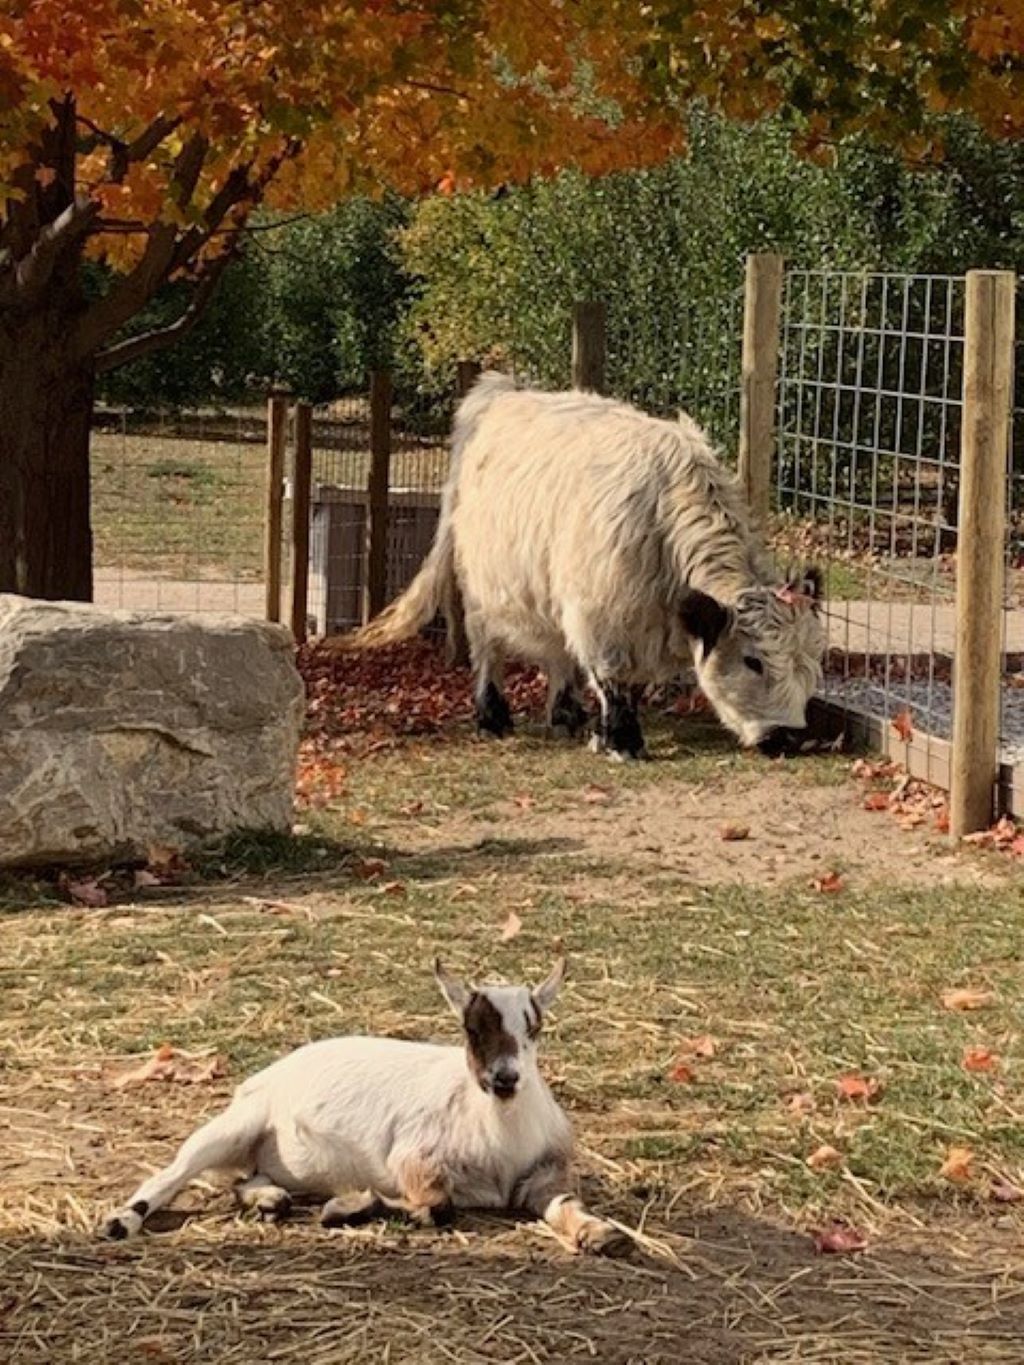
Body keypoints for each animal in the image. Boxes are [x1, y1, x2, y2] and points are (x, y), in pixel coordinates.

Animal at [101, 957, 628, 1255]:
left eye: (534, 1027)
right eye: (470, 1028)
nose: (505, 1078)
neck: (500, 1134)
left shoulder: (542, 1174)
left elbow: (565, 1204)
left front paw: (603, 1235)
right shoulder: (412, 1160)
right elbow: (439, 1208)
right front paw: (347, 1208)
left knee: (244, 1181)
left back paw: (270, 1200)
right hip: (235, 1125)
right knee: (170, 1175)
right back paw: (119, 1222)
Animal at [348, 374, 825, 760]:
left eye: (811, 661)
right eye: (752, 661)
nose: (789, 736)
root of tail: (501, 392)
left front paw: (600, 732)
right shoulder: (603, 617)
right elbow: (614, 679)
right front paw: (622, 742)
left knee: (559, 652)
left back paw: (566, 714)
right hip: (484, 588)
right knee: (486, 648)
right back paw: (492, 717)